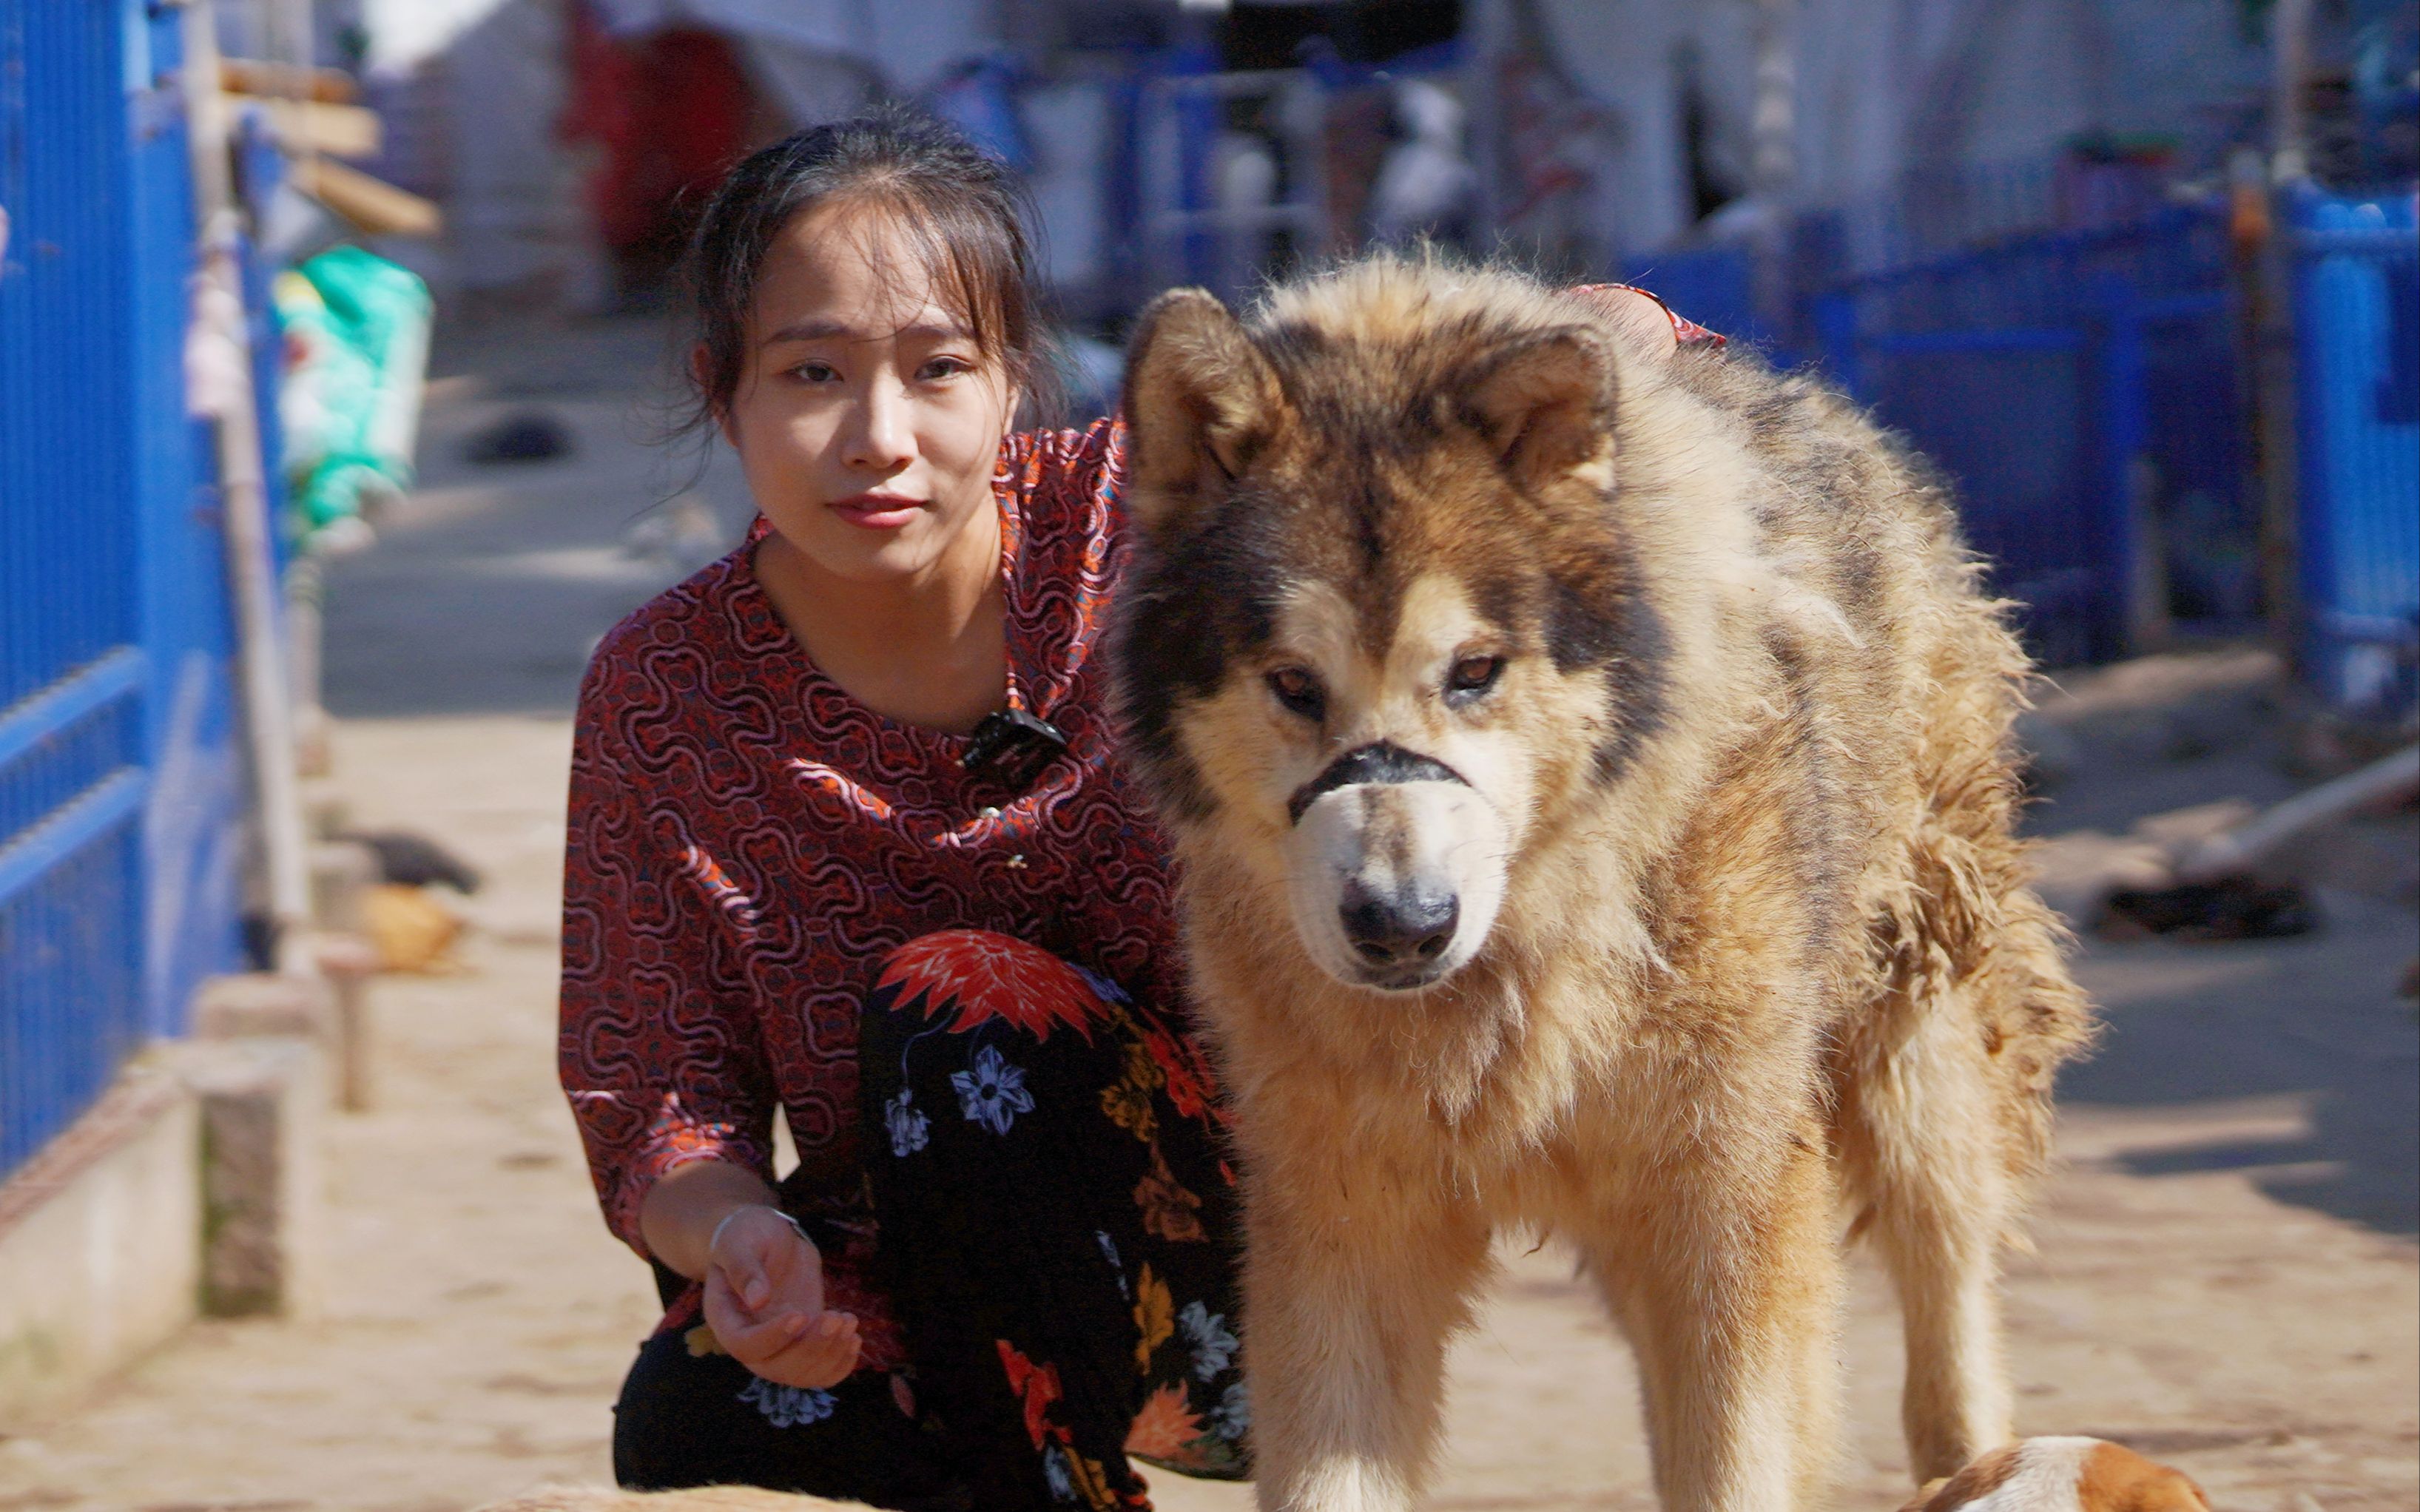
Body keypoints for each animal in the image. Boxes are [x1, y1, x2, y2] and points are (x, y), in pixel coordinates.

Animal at [1108, 262, 2091, 1509]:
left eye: (1473, 671)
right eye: (1291, 684)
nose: (1400, 927)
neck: (1512, 978)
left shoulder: (1725, 1212)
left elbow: (1739, 1465)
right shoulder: (1339, 1238)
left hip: (1913, 1071)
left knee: (1947, 1309)